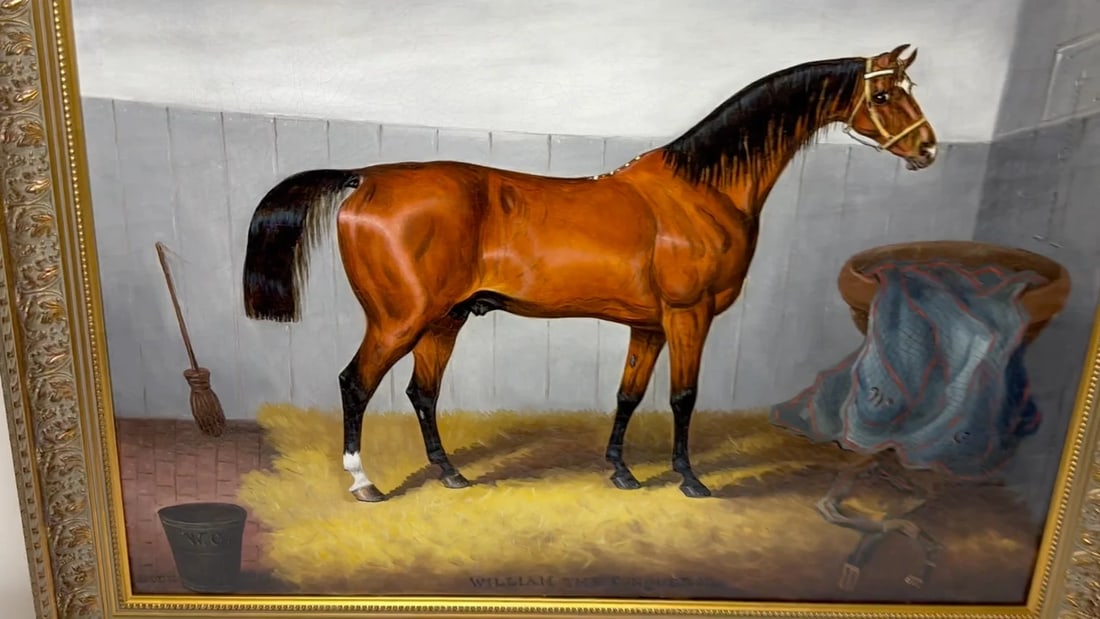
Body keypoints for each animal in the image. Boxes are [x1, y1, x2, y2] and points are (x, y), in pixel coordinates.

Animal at [241, 44, 937, 503]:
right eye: (883, 94)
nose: (927, 148)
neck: (702, 189)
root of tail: (365, 178)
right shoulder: (689, 315)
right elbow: (683, 397)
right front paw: (689, 479)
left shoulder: (650, 325)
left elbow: (629, 394)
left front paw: (622, 470)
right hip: (399, 319)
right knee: (355, 383)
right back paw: (364, 483)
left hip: (444, 319)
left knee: (422, 393)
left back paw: (450, 473)